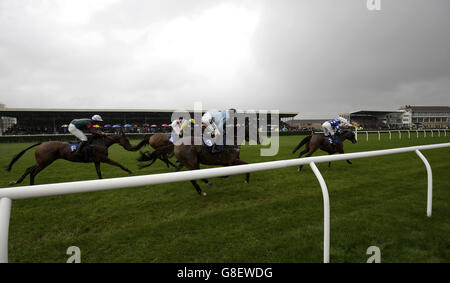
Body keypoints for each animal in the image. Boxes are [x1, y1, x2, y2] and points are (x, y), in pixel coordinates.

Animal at [6, 131, 147, 186]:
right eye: (126, 139)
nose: (132, 147)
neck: (101, 143)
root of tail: (42, 143)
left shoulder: (97, 161)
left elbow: (99, 173)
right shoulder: (103, 159)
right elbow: (118, 164)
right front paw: (130, 171)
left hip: (43, 161)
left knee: (29, 168)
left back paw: (23, 183)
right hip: (45, 161)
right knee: (32, 171)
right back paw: (30, 184)